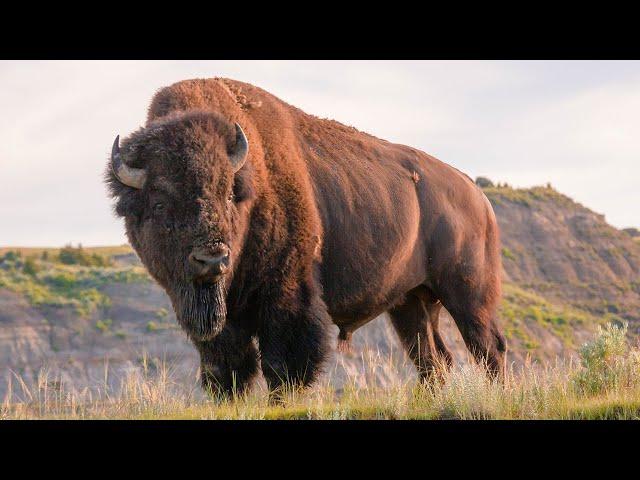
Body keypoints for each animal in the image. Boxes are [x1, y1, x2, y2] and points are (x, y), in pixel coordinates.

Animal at [106, 77, 504, 396]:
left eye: (229, 194)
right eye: (159, 203)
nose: (212, 258)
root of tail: (476, 195)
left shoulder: (287, 295)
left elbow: (283, 365)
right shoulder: (222, 318)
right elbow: (228, 368)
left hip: (467, 294)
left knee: (487, 347)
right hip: (412, 301)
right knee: (432, 357)